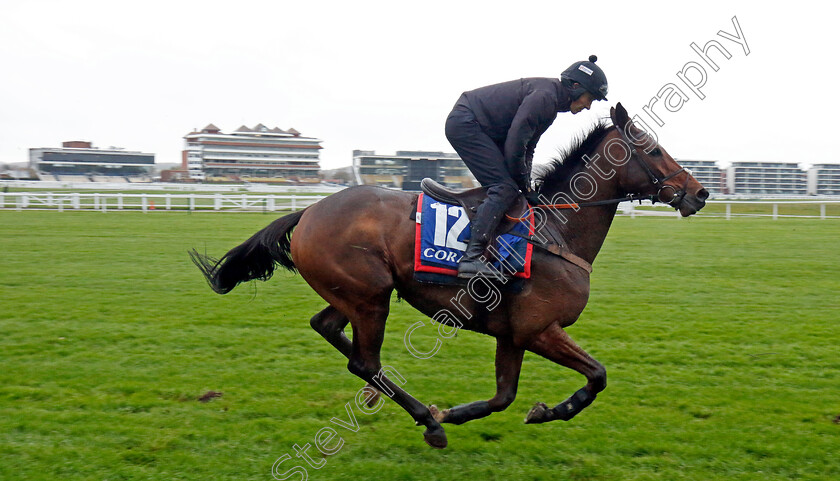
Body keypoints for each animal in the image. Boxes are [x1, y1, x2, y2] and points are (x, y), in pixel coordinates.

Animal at [190, 103, 708, 448]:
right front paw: (547, 411)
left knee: (329, 329)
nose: (700, 193)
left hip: (354, 294)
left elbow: (503, 396)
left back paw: (415, 411)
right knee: (364, 361)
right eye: (655, 151)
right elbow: (597, 375)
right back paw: (427, 421)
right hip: (371, 296)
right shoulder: (539, 329)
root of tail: (309, 210)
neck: (557, 231)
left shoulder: (513, 333)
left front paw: (472, 412)